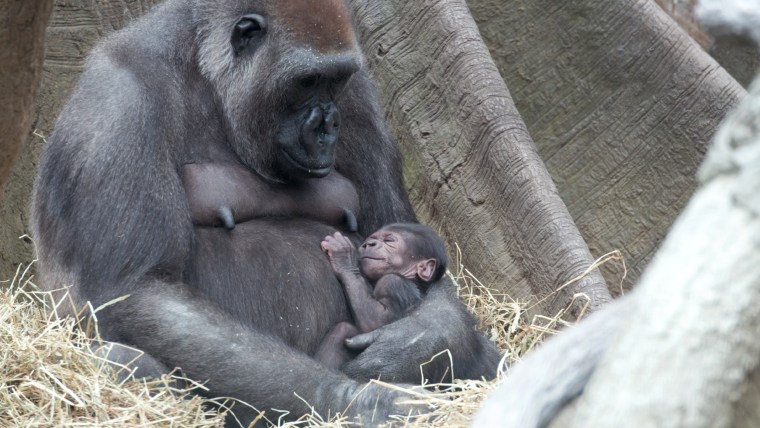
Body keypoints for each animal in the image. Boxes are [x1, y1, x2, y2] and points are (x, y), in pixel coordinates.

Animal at [318, 222, 448, 370]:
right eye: (371, 238)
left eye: (388, 240)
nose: (369, 244)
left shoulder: (391, 283)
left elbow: (376, 322)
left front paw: (344, 259)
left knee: (343, 329)